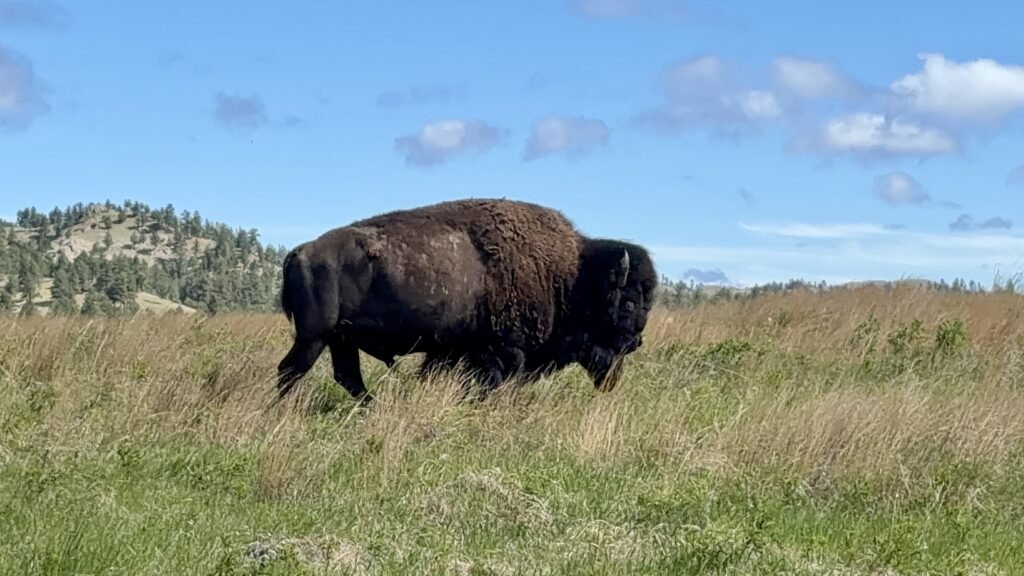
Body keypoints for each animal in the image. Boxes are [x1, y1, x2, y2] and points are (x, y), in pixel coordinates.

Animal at [276, 198, 656, 403]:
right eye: (628, 302)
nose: (636, 341)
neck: (571, 275)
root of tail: (300, 252)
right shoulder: (502, 351)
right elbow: (494, 382)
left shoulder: (455, 352)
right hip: (314, 337)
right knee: (291, 371)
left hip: (341, 337)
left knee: (347, 376)